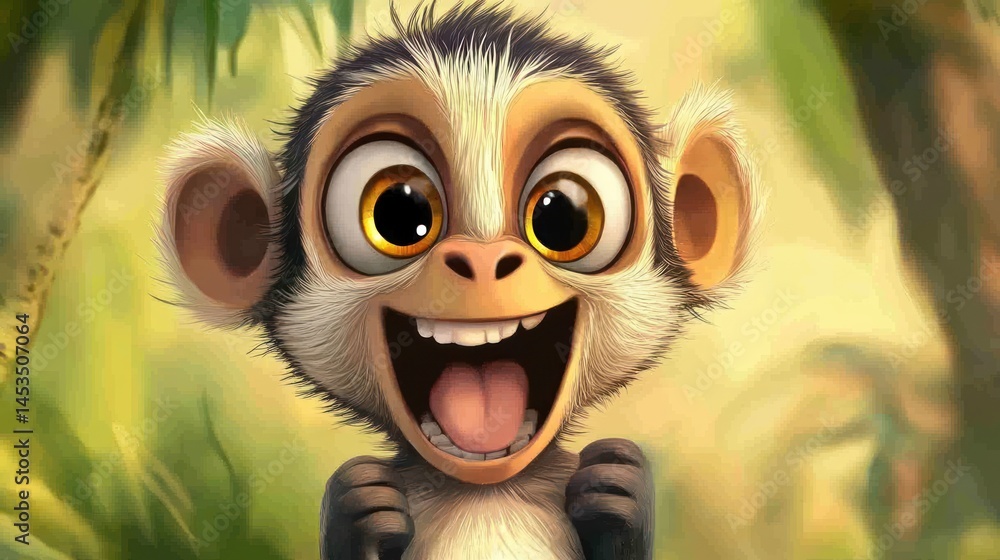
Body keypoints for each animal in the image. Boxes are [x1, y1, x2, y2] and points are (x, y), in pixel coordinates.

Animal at [155, 3, 763, 559]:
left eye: (560, 215)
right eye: (400, 212)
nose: (482, 261)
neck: (485, 489)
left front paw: (617, 496)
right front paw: (359, 512)